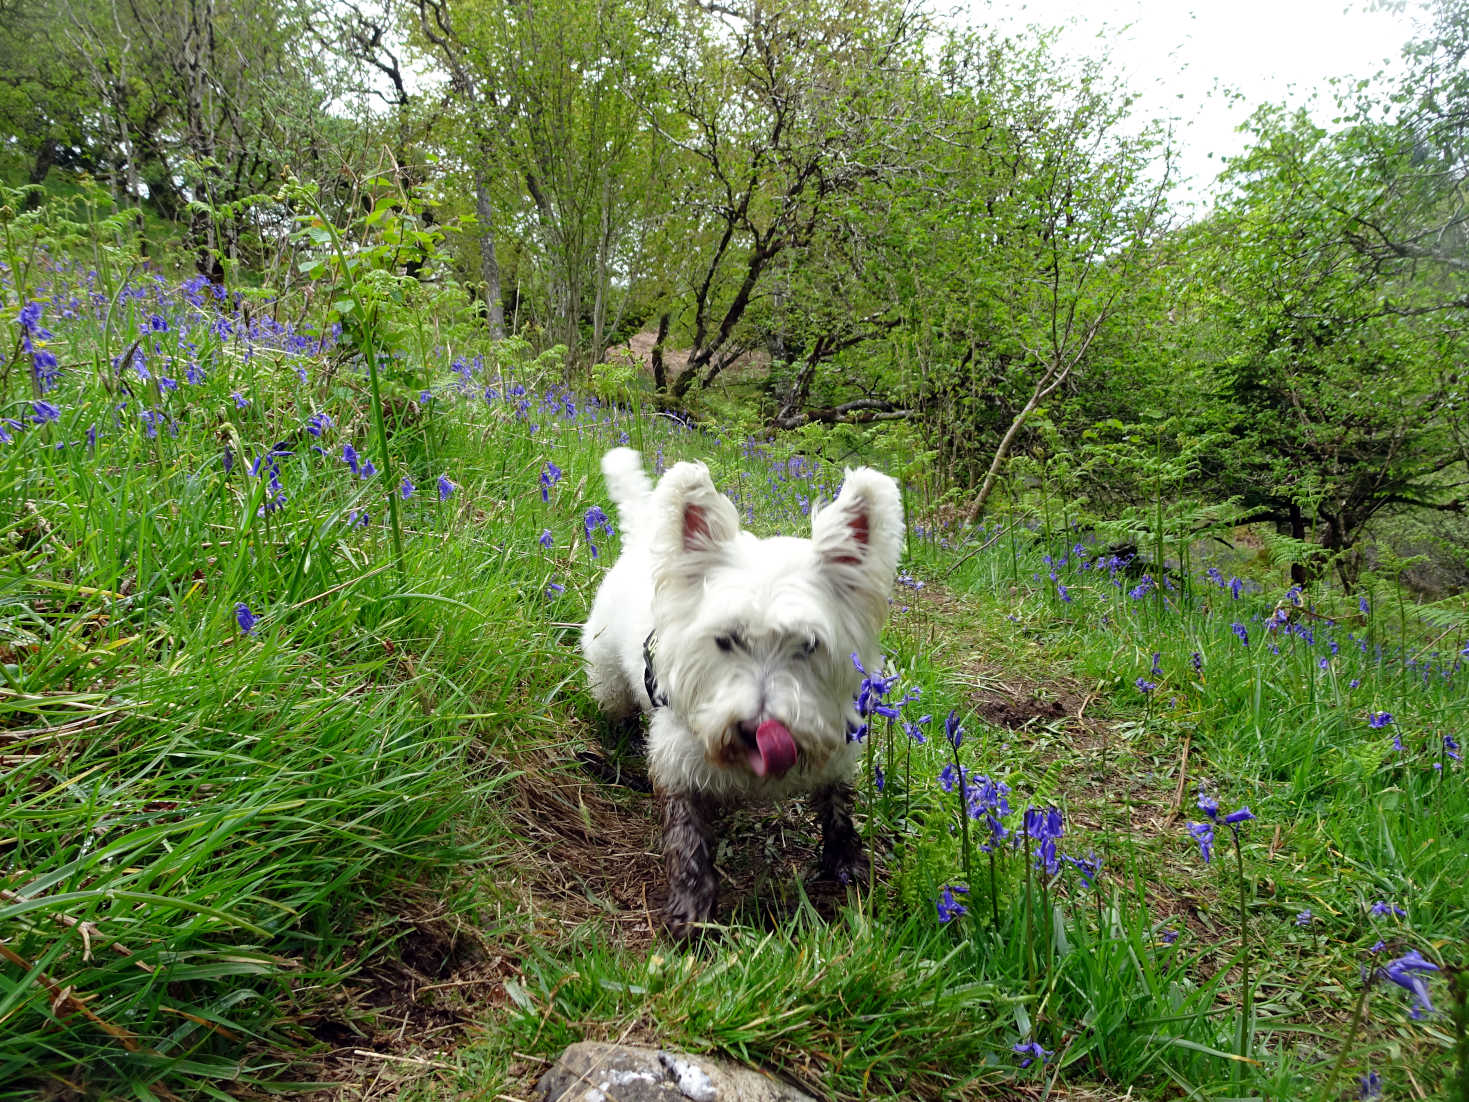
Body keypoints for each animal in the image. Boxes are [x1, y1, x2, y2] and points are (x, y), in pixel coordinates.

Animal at [578, 449, 899, 940]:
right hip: (609, 678)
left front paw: (846, 861)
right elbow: (687, 838)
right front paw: (692, 907)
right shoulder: (677, 762)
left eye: (809, 644)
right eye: (725, 640)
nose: (756, 731)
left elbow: (838, 807)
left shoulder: (836, 749)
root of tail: (643, 537)